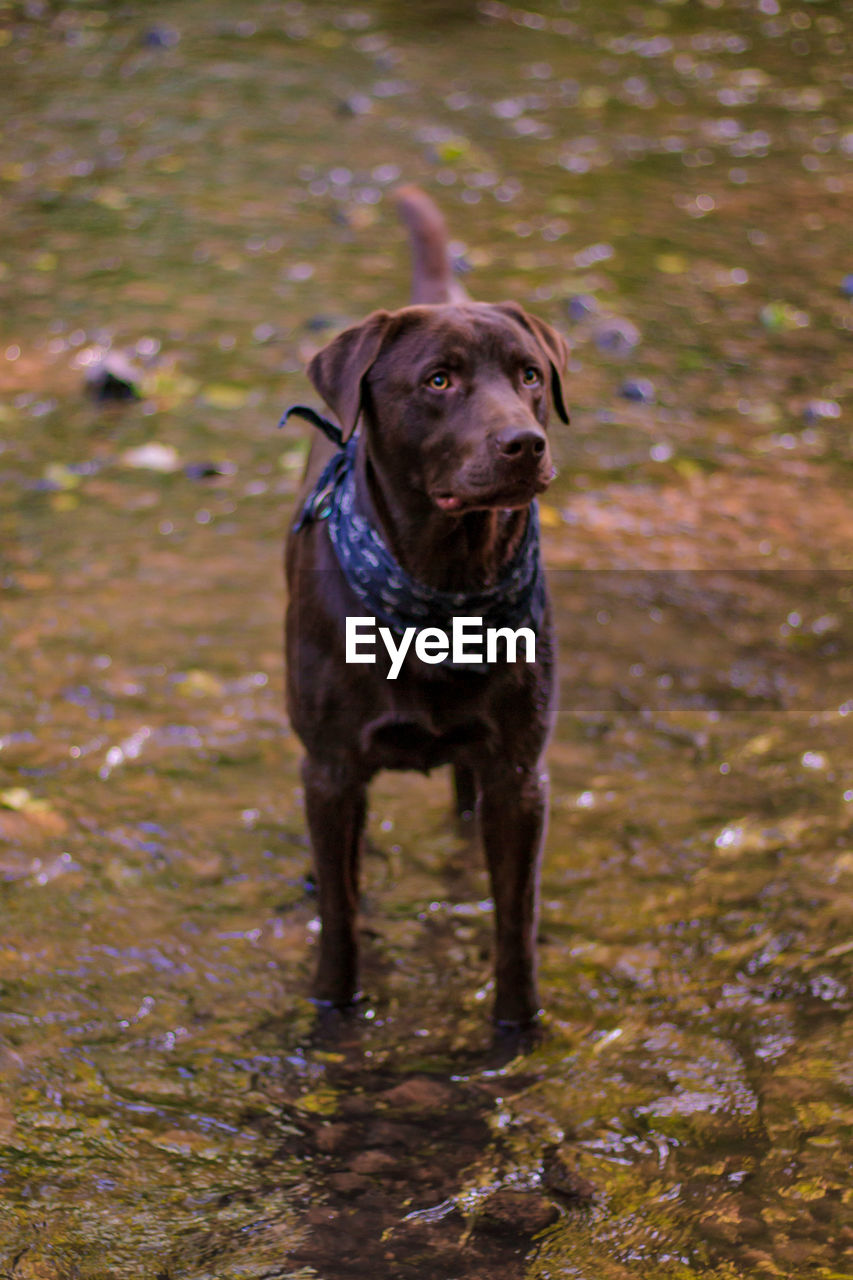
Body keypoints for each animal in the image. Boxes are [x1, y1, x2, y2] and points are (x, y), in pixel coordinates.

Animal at [281, 186, 568, 1029]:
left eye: (530, 375)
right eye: (438, 381)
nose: (524, 443)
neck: (444, 583)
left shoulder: (519, 773)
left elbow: (515, 920)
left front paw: (516, 1029)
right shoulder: (331, 770)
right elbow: (340, 917)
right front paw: (333, 1008)